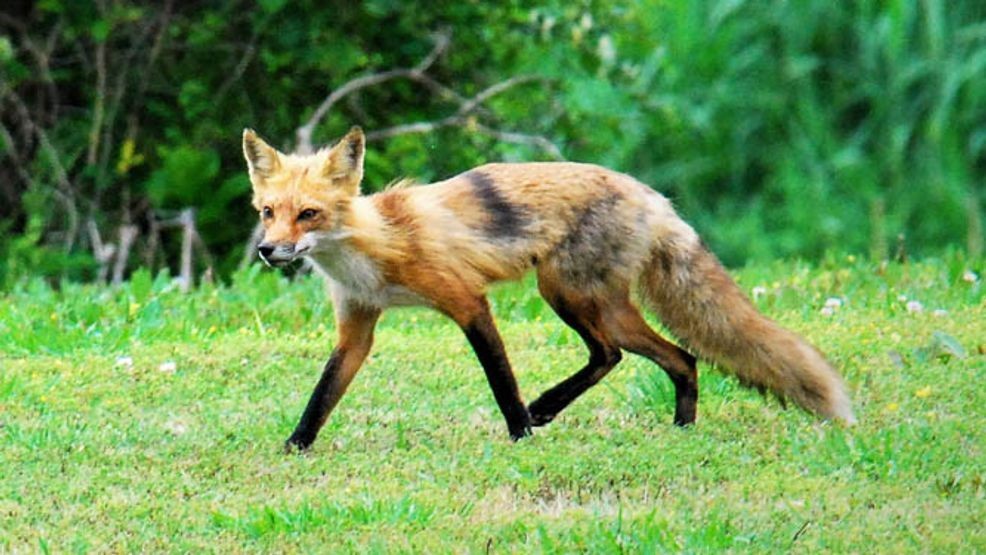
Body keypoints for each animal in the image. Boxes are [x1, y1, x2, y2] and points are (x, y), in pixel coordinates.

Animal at [243, 126, 856, 451]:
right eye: (268, 212)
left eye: (309, 214)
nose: (268, 250)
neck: (374, 242)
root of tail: (654, 197)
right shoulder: (357, 327)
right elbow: (322, 397)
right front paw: (294, 450)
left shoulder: (468, 301)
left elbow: (501, 381)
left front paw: (519, 435)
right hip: (599, 304)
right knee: (677, 358)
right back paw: (681, 428)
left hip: (565, 294)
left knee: (618, 354)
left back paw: (546, 410)